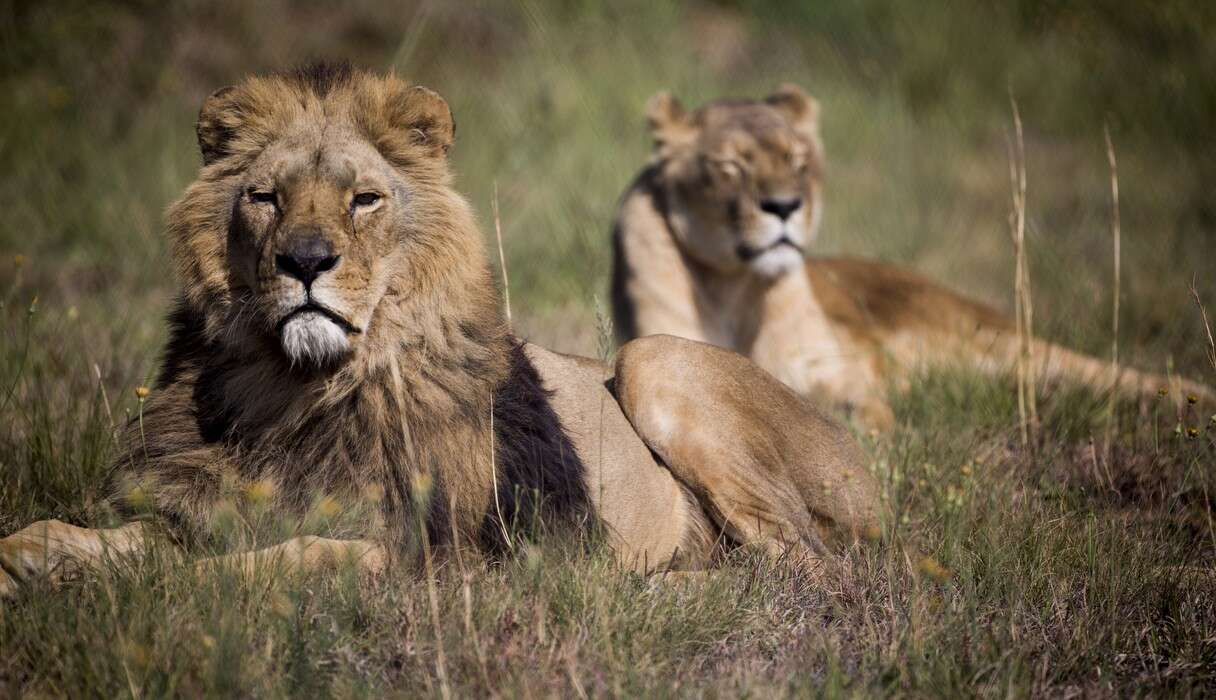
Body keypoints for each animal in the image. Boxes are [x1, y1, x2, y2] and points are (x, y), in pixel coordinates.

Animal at [0, 64, 880, 595]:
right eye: (265, 198)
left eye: (363, 200)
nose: (305, 261)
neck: (296, 391)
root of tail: (865, 460)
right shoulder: (189, 504)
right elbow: (84, 533)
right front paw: (30, 563)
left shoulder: (432, 557)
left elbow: (276, 560)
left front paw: (140, 589)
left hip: (654, 359)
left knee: (810, 568)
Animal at [612, 87, 1211, 427]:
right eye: (731, 166)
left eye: (800, 161)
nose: (784, 206)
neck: (737, 286)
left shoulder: (839, 372)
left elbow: (866, 409)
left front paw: (867, 431)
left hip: (991, 338)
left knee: (1096, 371)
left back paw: (1192, 399)